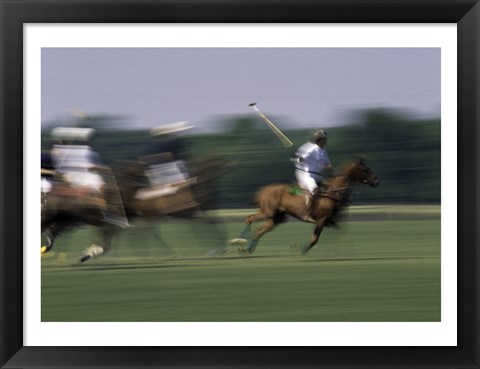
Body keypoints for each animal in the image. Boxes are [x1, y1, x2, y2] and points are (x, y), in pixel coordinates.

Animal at [238, 157, 380, 254]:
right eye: (365, 168)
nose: (377, 181)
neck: (333, 193)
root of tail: (263, 190)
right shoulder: (321, 220)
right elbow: (314, 239)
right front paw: (299, 249)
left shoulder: (330, 221)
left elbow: (343, 233)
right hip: (268, 212)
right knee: (249, 218)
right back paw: (241, 242)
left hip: (278, 218)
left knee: (258, 231)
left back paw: (247, 249)